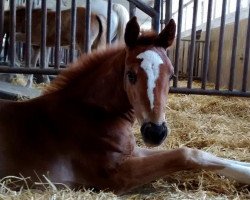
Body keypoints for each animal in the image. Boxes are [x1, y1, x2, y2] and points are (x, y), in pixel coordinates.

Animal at [0, 17, 249, 194]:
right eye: (130, 75)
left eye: (171, 76)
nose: (155, 132)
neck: (90, 114)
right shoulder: (117, 176)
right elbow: (187, 154)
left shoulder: (132, 151)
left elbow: (206, 154)